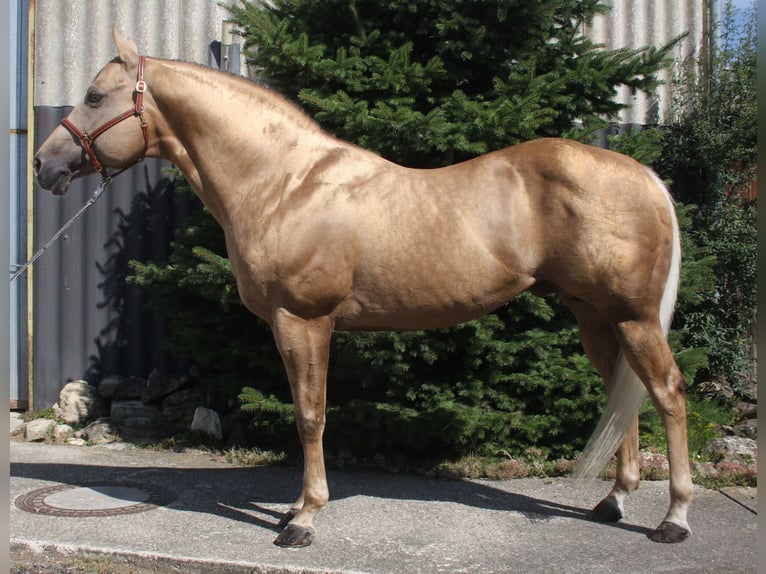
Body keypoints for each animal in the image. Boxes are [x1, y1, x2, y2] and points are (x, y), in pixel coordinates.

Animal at [34, 27, 692, 548]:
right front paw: (295, 511)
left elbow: (310, 415)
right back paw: (614, 502)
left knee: (666, 392)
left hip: (631, 316)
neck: (284, 182)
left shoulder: (303, 321)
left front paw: (303, 519)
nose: (44, 165)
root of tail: (644, 175)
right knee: (624, 392)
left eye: (95, 96)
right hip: (594, 315)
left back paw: (675, 517)